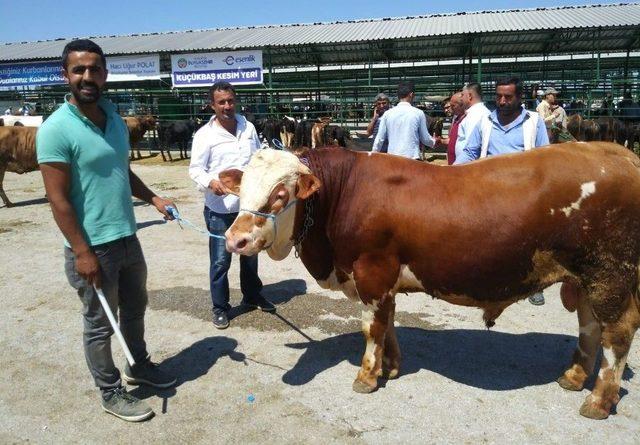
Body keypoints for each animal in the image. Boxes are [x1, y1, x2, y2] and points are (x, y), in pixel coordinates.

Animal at [220, 144, 640, 418]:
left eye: (279, 193)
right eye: (241, 190)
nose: (234, 239)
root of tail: (622, 153)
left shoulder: (372, 271)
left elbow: (372, 327)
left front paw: (367, 376)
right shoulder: (384, 280)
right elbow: (388, 323)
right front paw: (390, 367)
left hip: (609, 275)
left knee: (617, 334)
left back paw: (598, 401)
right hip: (585, 280)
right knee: (590, 327)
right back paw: (573, 376)